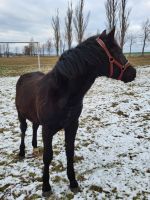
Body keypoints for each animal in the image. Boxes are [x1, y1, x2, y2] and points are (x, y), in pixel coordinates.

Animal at [15, 28, 136, 197]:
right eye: (117, 51)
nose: (133, 73)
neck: (61, 94)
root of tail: (24, 76)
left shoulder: (72, 126)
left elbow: (70, 153)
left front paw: (73, 182)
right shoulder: (48, 130)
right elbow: (48, 157)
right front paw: (46, 187)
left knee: (34, 127)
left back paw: (34, 146)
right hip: (20, 115)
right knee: (23, 130)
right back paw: (22, 152)